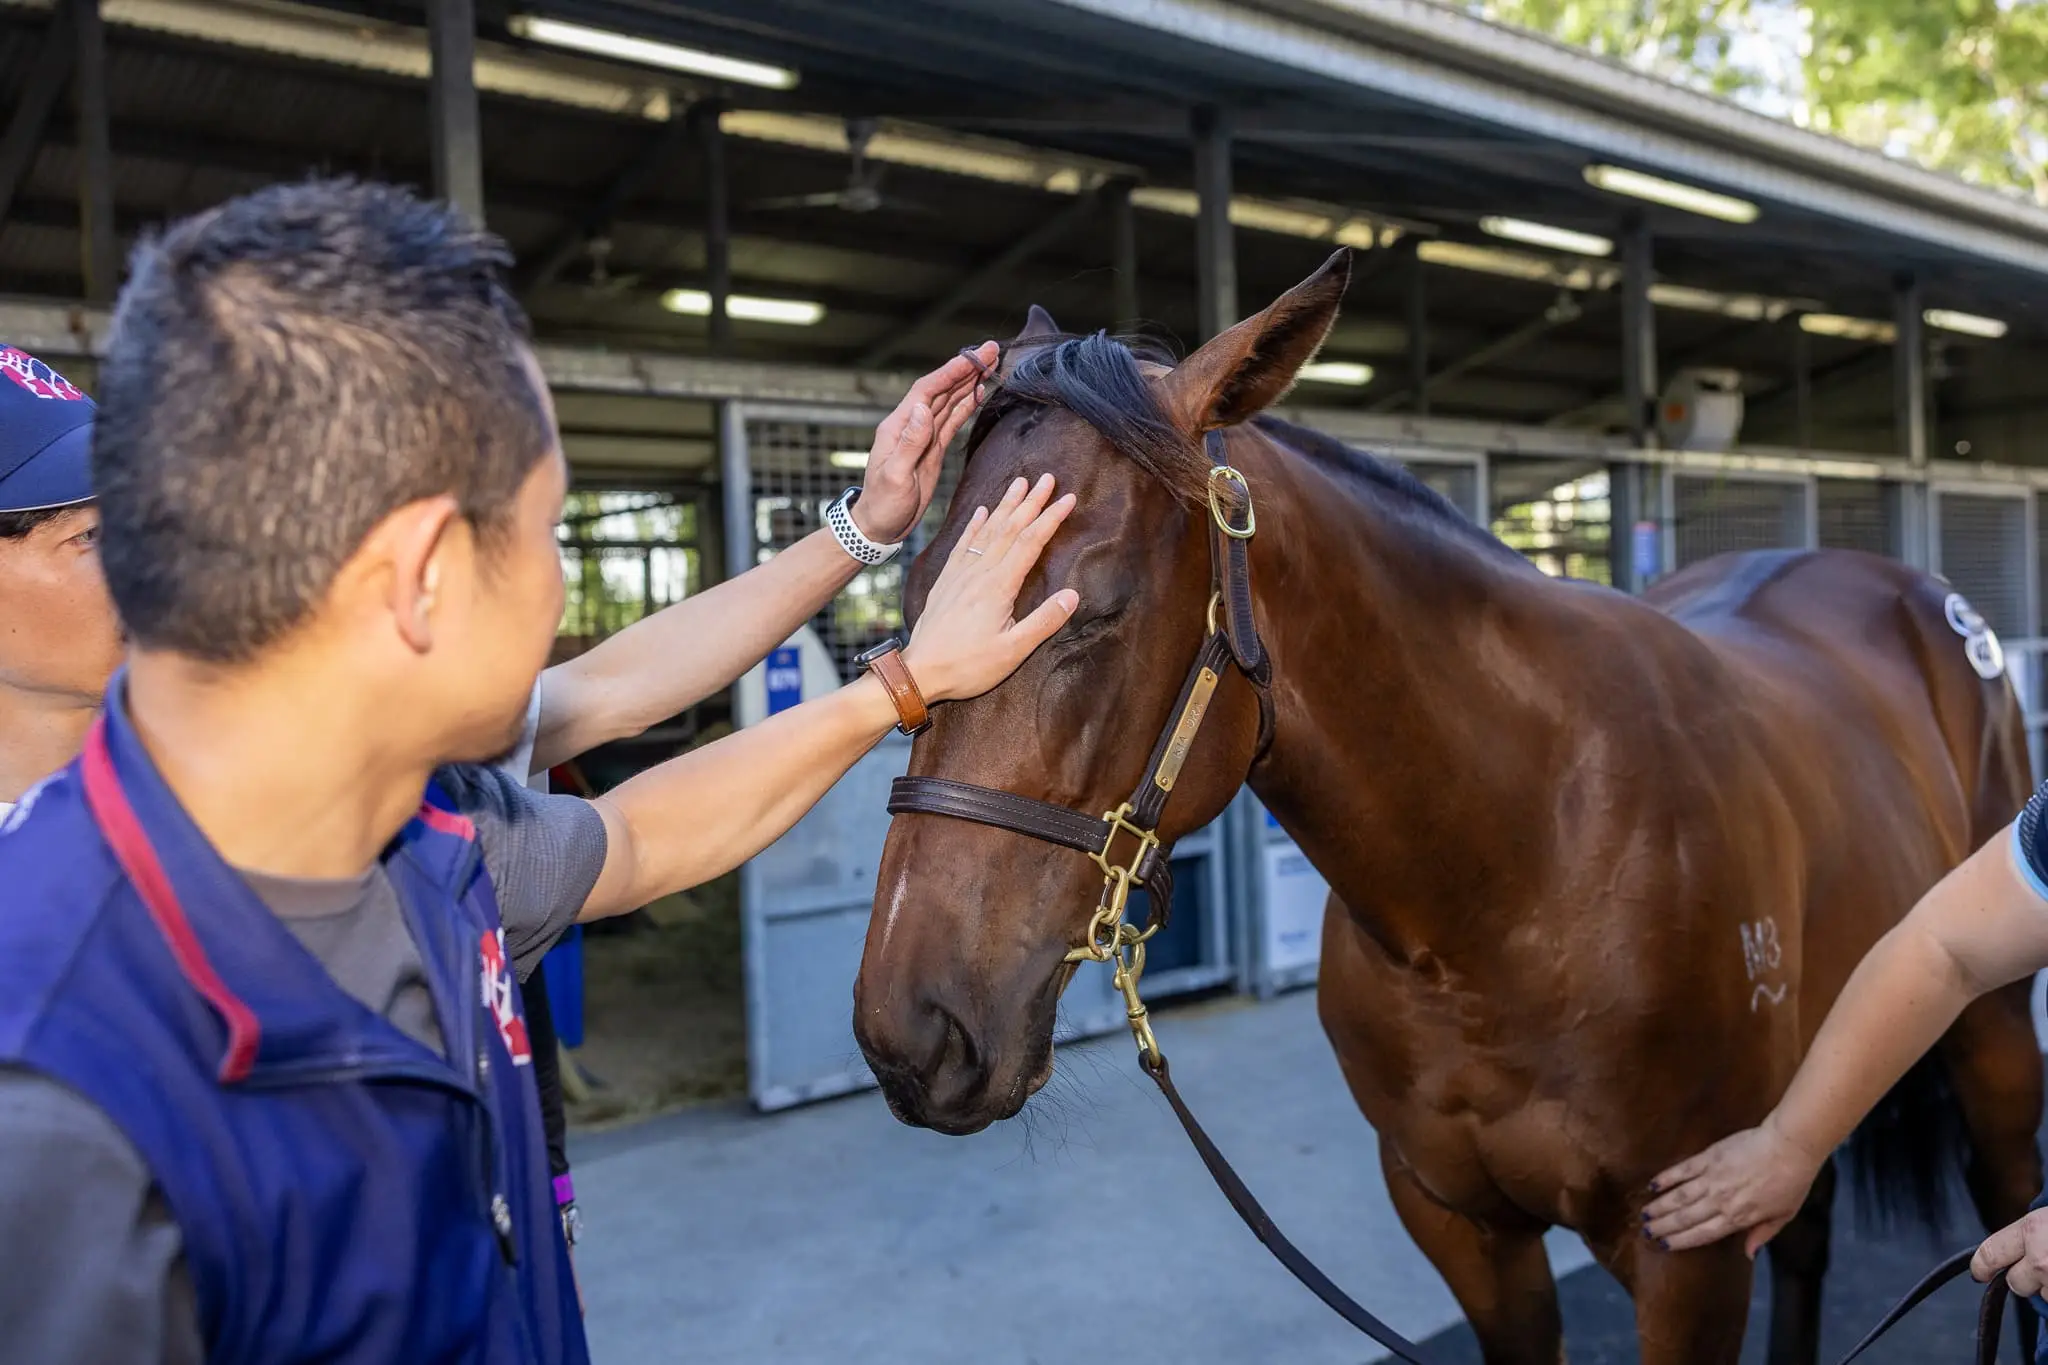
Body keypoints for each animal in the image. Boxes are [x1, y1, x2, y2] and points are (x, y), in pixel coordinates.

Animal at [852, 248, 2044, 1365]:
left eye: (1094, 607)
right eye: (910, 604)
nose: (910, 1032)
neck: (1508, 879)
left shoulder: (1687, 1253)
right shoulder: (1460, 1224)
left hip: (1986, 1034)